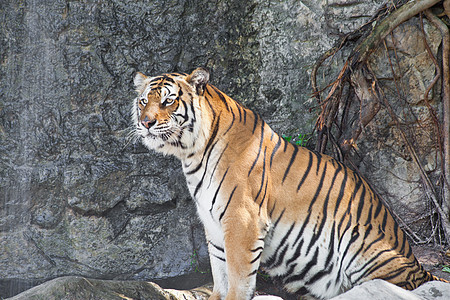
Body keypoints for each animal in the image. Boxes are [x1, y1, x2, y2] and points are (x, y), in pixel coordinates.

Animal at [130, 68, 446, 300]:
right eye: (144, 101)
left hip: (364, 247)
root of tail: (421, 266)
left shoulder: (242, 219)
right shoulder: (213, 222)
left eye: (168, 100)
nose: (145, 123)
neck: (192, 153)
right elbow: (220, 271)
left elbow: (237, 276)